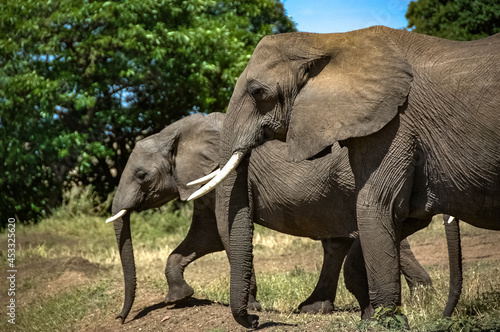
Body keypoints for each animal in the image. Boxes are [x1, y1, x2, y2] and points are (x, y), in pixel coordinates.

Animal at [106, 113, 460, 322]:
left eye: (141, 175)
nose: (121, 319)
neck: (175, 132)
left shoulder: (225, 176)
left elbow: (223, 232)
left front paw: (251, 308)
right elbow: (205, 236)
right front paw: (179, 297)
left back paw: (419, 301)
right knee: (339, 241)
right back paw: (316, 309)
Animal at [188, 26, 500, 326]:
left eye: (256, 91)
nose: (254, 318)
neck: (330, 40)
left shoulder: (394, 124)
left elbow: (377, 207)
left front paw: (387, 323)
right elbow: (398, 215)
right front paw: (374, 318)